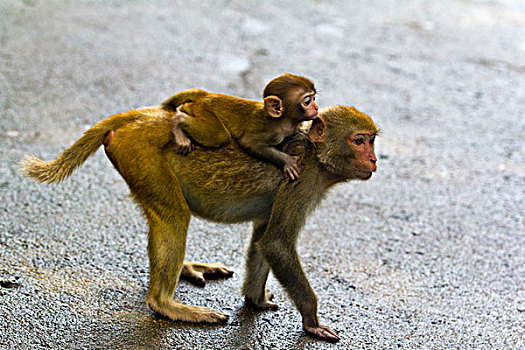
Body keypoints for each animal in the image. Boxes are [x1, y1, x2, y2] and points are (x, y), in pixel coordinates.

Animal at [20, 103, 378, 342]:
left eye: (372, 141)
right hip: (143, 157)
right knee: (174, 216)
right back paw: (166, 304)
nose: (374, 159)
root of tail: (144, 117)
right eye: (359, 141)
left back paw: (186, 270)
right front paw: (312, 321)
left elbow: (263, 239)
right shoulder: (301, 181)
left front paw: (255, 299)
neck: (317, 157)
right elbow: (277, 243)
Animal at [163, 72, 320, 179]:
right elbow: (249, 143)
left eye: (314, 98)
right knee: (219, 136)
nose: (316, 108)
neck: (284, 121)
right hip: (205, 109)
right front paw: (287, 161)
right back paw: (179, 122)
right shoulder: (273, 132)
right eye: (307, 101)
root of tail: (206, 95)